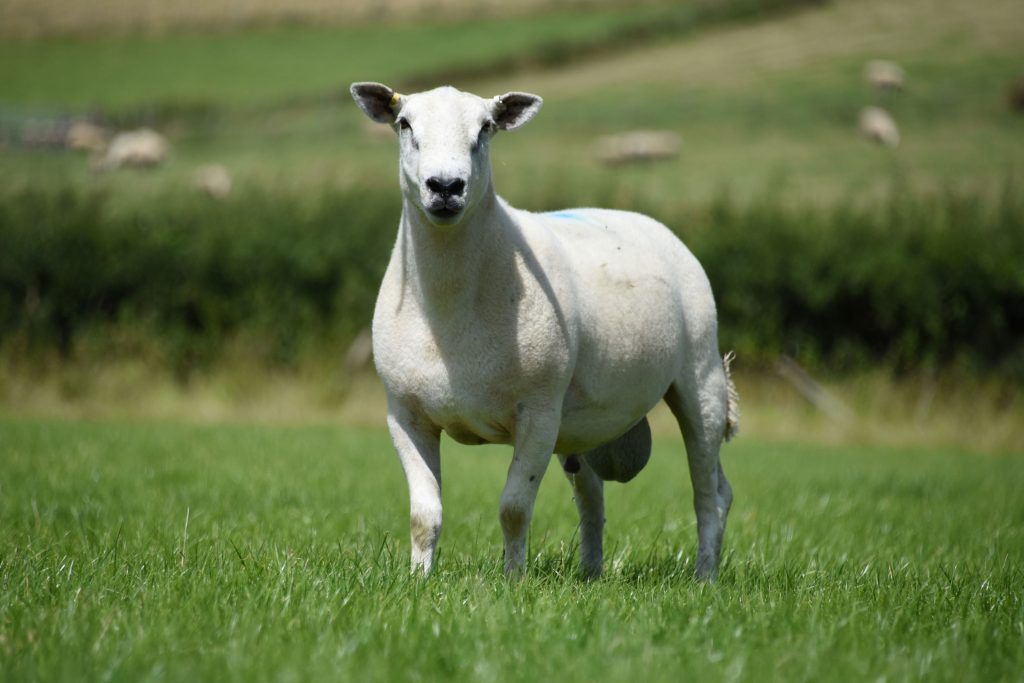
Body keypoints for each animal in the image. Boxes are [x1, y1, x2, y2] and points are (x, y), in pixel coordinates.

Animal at [351, 83, 739, 581]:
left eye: (486, 129)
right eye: (404, 124)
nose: (446, 187)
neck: (450, 310)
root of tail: (642, 219)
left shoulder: (538, 412)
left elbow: (514, 509)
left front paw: (512, 582)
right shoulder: (405, 414)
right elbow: (424, 514)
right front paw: (419, 580)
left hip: (700, 375)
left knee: (711, 493)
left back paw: (704, 576)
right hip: (584, 421)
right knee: (593, 497)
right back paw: (590, 573)